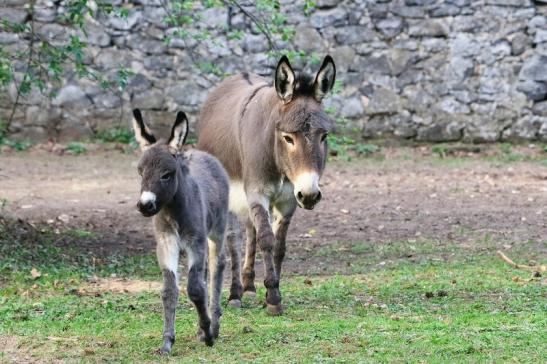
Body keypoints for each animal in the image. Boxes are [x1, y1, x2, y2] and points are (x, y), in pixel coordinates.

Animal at [133, 109, 231, 354]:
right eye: (140, 173)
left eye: (166, 174)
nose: (145, 205)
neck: (172, 210)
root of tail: (202, 153)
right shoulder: (166, 243)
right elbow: (169, 290)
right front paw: (167, 342)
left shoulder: (196, 240)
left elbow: (195, 288)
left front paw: (208, 333)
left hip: (217, 229)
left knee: (217, 266)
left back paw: (214, 323)